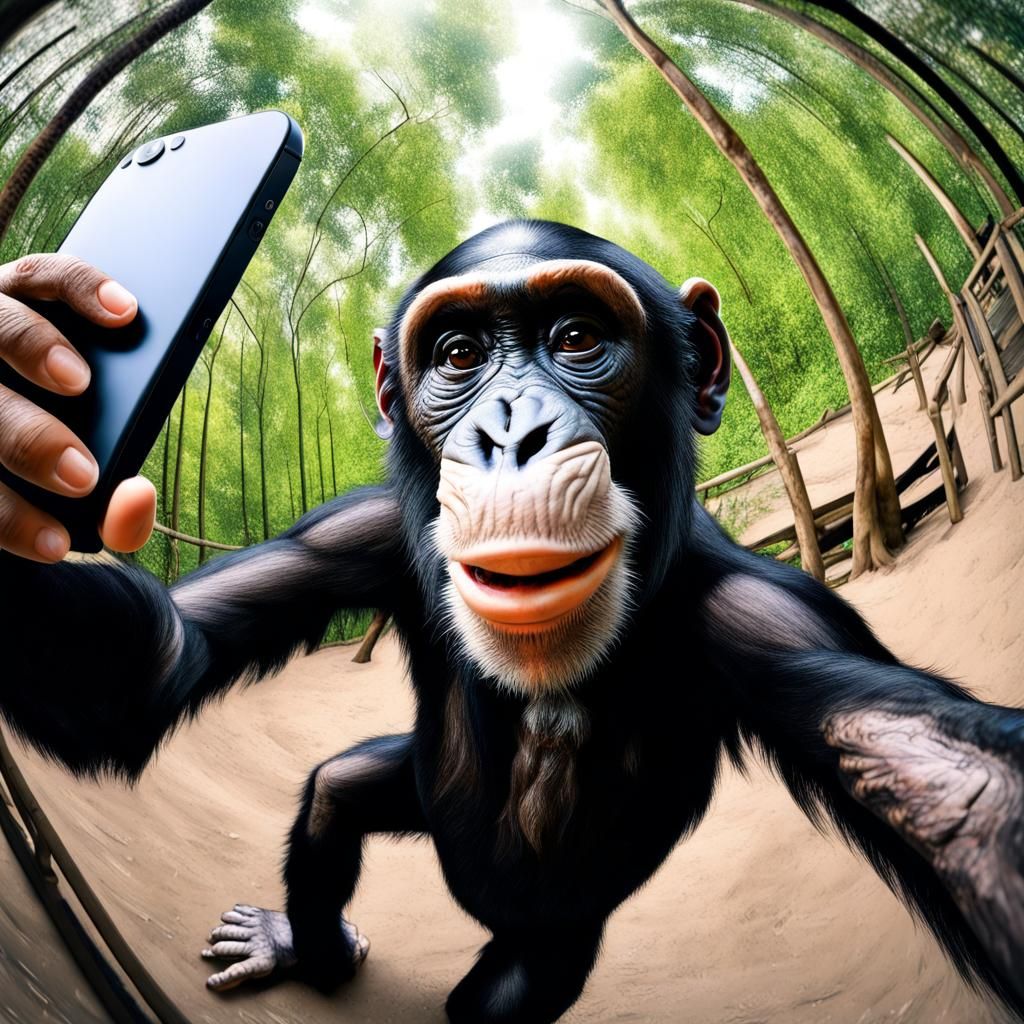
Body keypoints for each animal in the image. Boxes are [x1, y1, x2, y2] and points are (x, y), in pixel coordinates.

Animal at [1, 219, 1023, 1023]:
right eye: (458, 357)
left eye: (577, 338)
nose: (509, 431)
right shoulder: (356, 533)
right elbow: (159, 662)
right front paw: (34, 352)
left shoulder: (770, 620)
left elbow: (958, 787)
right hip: (415, 794)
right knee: (335, 796)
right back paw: (304, 946)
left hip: (552, 944)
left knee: (495, 996)